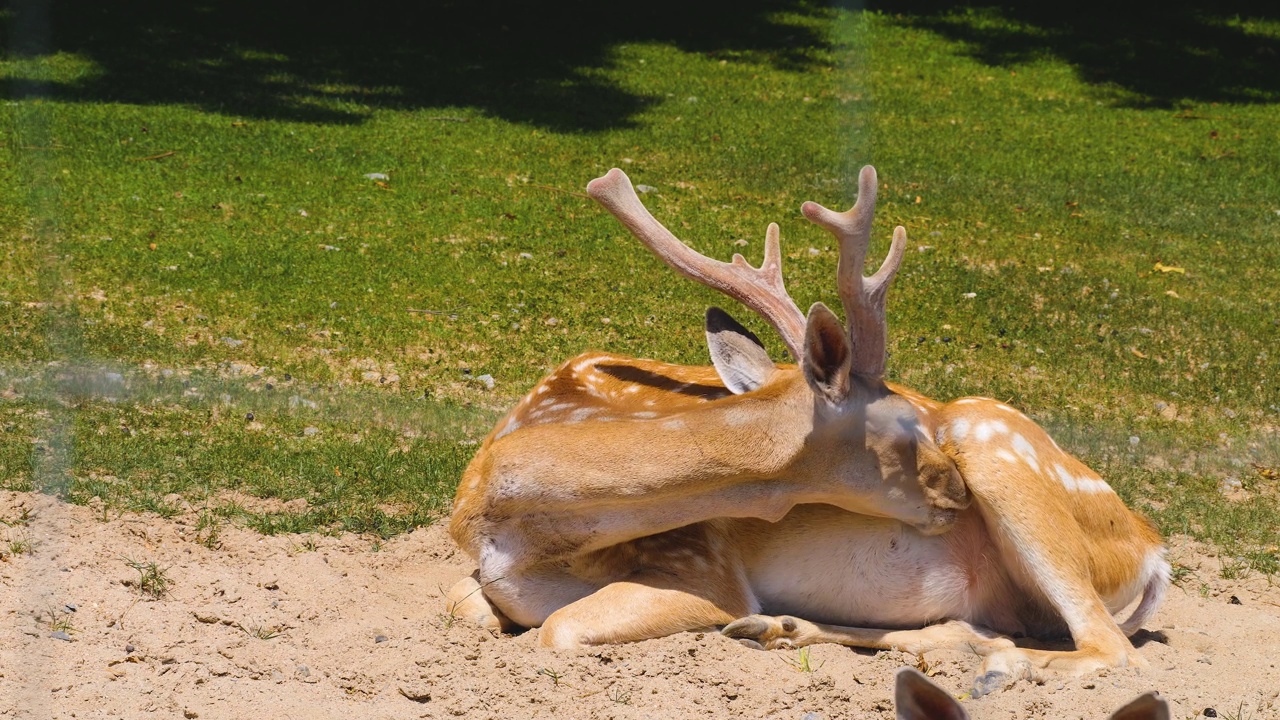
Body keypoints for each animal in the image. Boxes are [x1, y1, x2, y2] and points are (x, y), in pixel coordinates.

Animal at [442, 163, 1172, 696]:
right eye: (906, 422)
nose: (956, 493)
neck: (506, 520)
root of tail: (1155, 552)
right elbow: (462, 606)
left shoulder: (702, 565)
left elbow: (557, 630)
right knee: (984, 627)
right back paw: (779, 629)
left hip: (1000, 454)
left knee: (1110, 650)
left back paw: (996, 667)